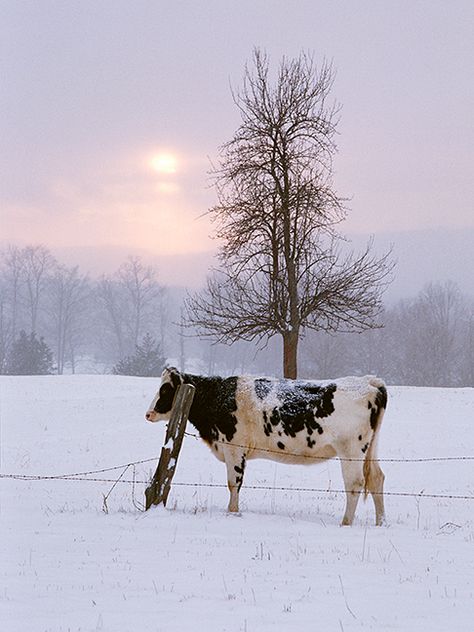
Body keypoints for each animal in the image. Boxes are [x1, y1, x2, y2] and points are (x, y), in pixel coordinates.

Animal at [145, 368, 388, 524]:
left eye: (166, 389)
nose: (148, 413)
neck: (220, 397)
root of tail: (369, 381)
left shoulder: (234, 447)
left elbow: (234, 484)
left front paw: (232, 513)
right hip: (370, 449)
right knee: (377, 478)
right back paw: (380, 522)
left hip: (351, 450)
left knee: (355, 484)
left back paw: (346, 522)